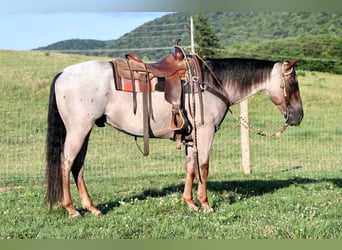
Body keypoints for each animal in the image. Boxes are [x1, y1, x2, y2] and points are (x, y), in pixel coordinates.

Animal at [44, 46, 302, 217]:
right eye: (292, 83)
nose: (298, 116)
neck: (211, 83)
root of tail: (63, 74)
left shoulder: (192, 138)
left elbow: (190, 167)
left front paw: (190, 203)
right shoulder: (206, 132)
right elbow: (204, 167)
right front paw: (205, 204)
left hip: (85, 131)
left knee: (78, 166)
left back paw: (92, 208)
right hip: (78, 129)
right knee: (67, 162)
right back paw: (72, 209)